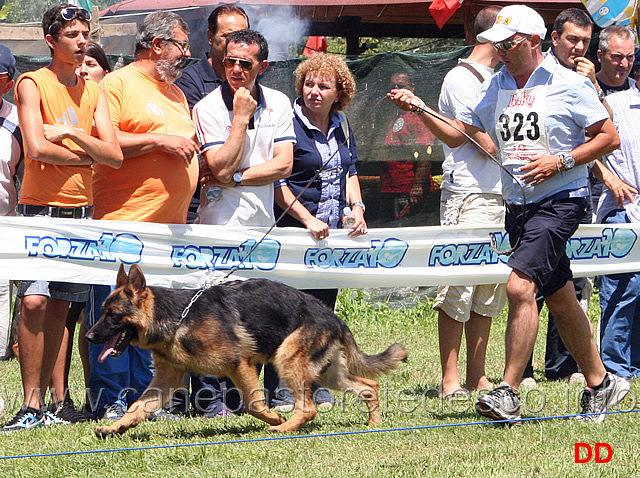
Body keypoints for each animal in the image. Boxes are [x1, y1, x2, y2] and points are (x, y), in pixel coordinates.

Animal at [85, 264, 408, 438]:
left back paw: (282, 428)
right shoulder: (167, 379)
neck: (177, 317)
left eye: (113, 316)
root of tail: (335, 318)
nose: (88, 336)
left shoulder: (239, 364)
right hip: (327, 373)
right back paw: (374, 424)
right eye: (101, 313)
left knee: (309, 407)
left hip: (287, 359)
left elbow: (253, 404)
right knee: (369, 386)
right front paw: (116, 427)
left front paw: (274, 419)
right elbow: (138, 406)